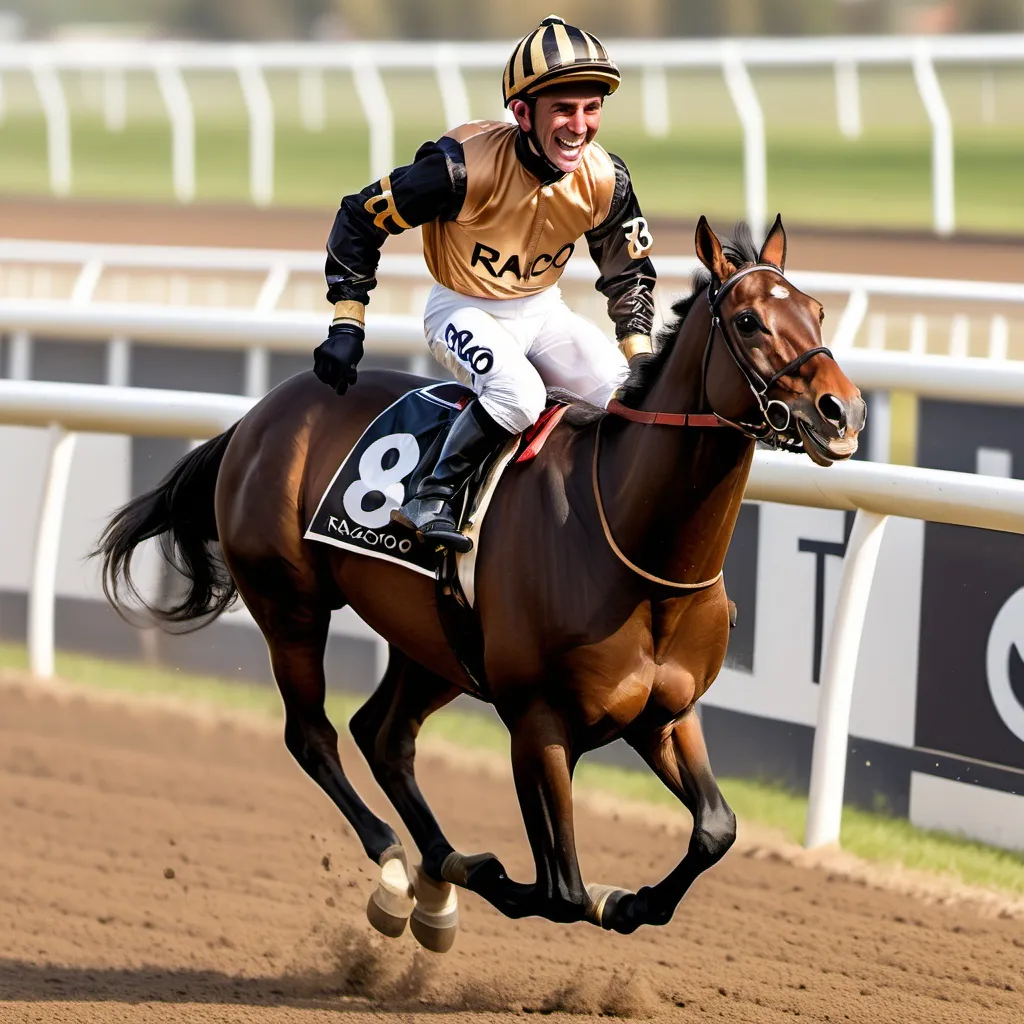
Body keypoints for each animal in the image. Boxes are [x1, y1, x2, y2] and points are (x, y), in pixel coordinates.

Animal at [96, 216, 864, 942]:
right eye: (749, 321)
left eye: (818, 311)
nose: (844, 411)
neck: (636, 550)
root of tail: (256, 417)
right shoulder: (536, 720)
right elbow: (560, 891)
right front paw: (525, 880)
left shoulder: (665, 714)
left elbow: (715, 829)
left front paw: (632, 901)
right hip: (291, 606)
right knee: (313, 736)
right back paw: (400, 872)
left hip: (434, 643)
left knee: (383, 734)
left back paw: (433, 877)